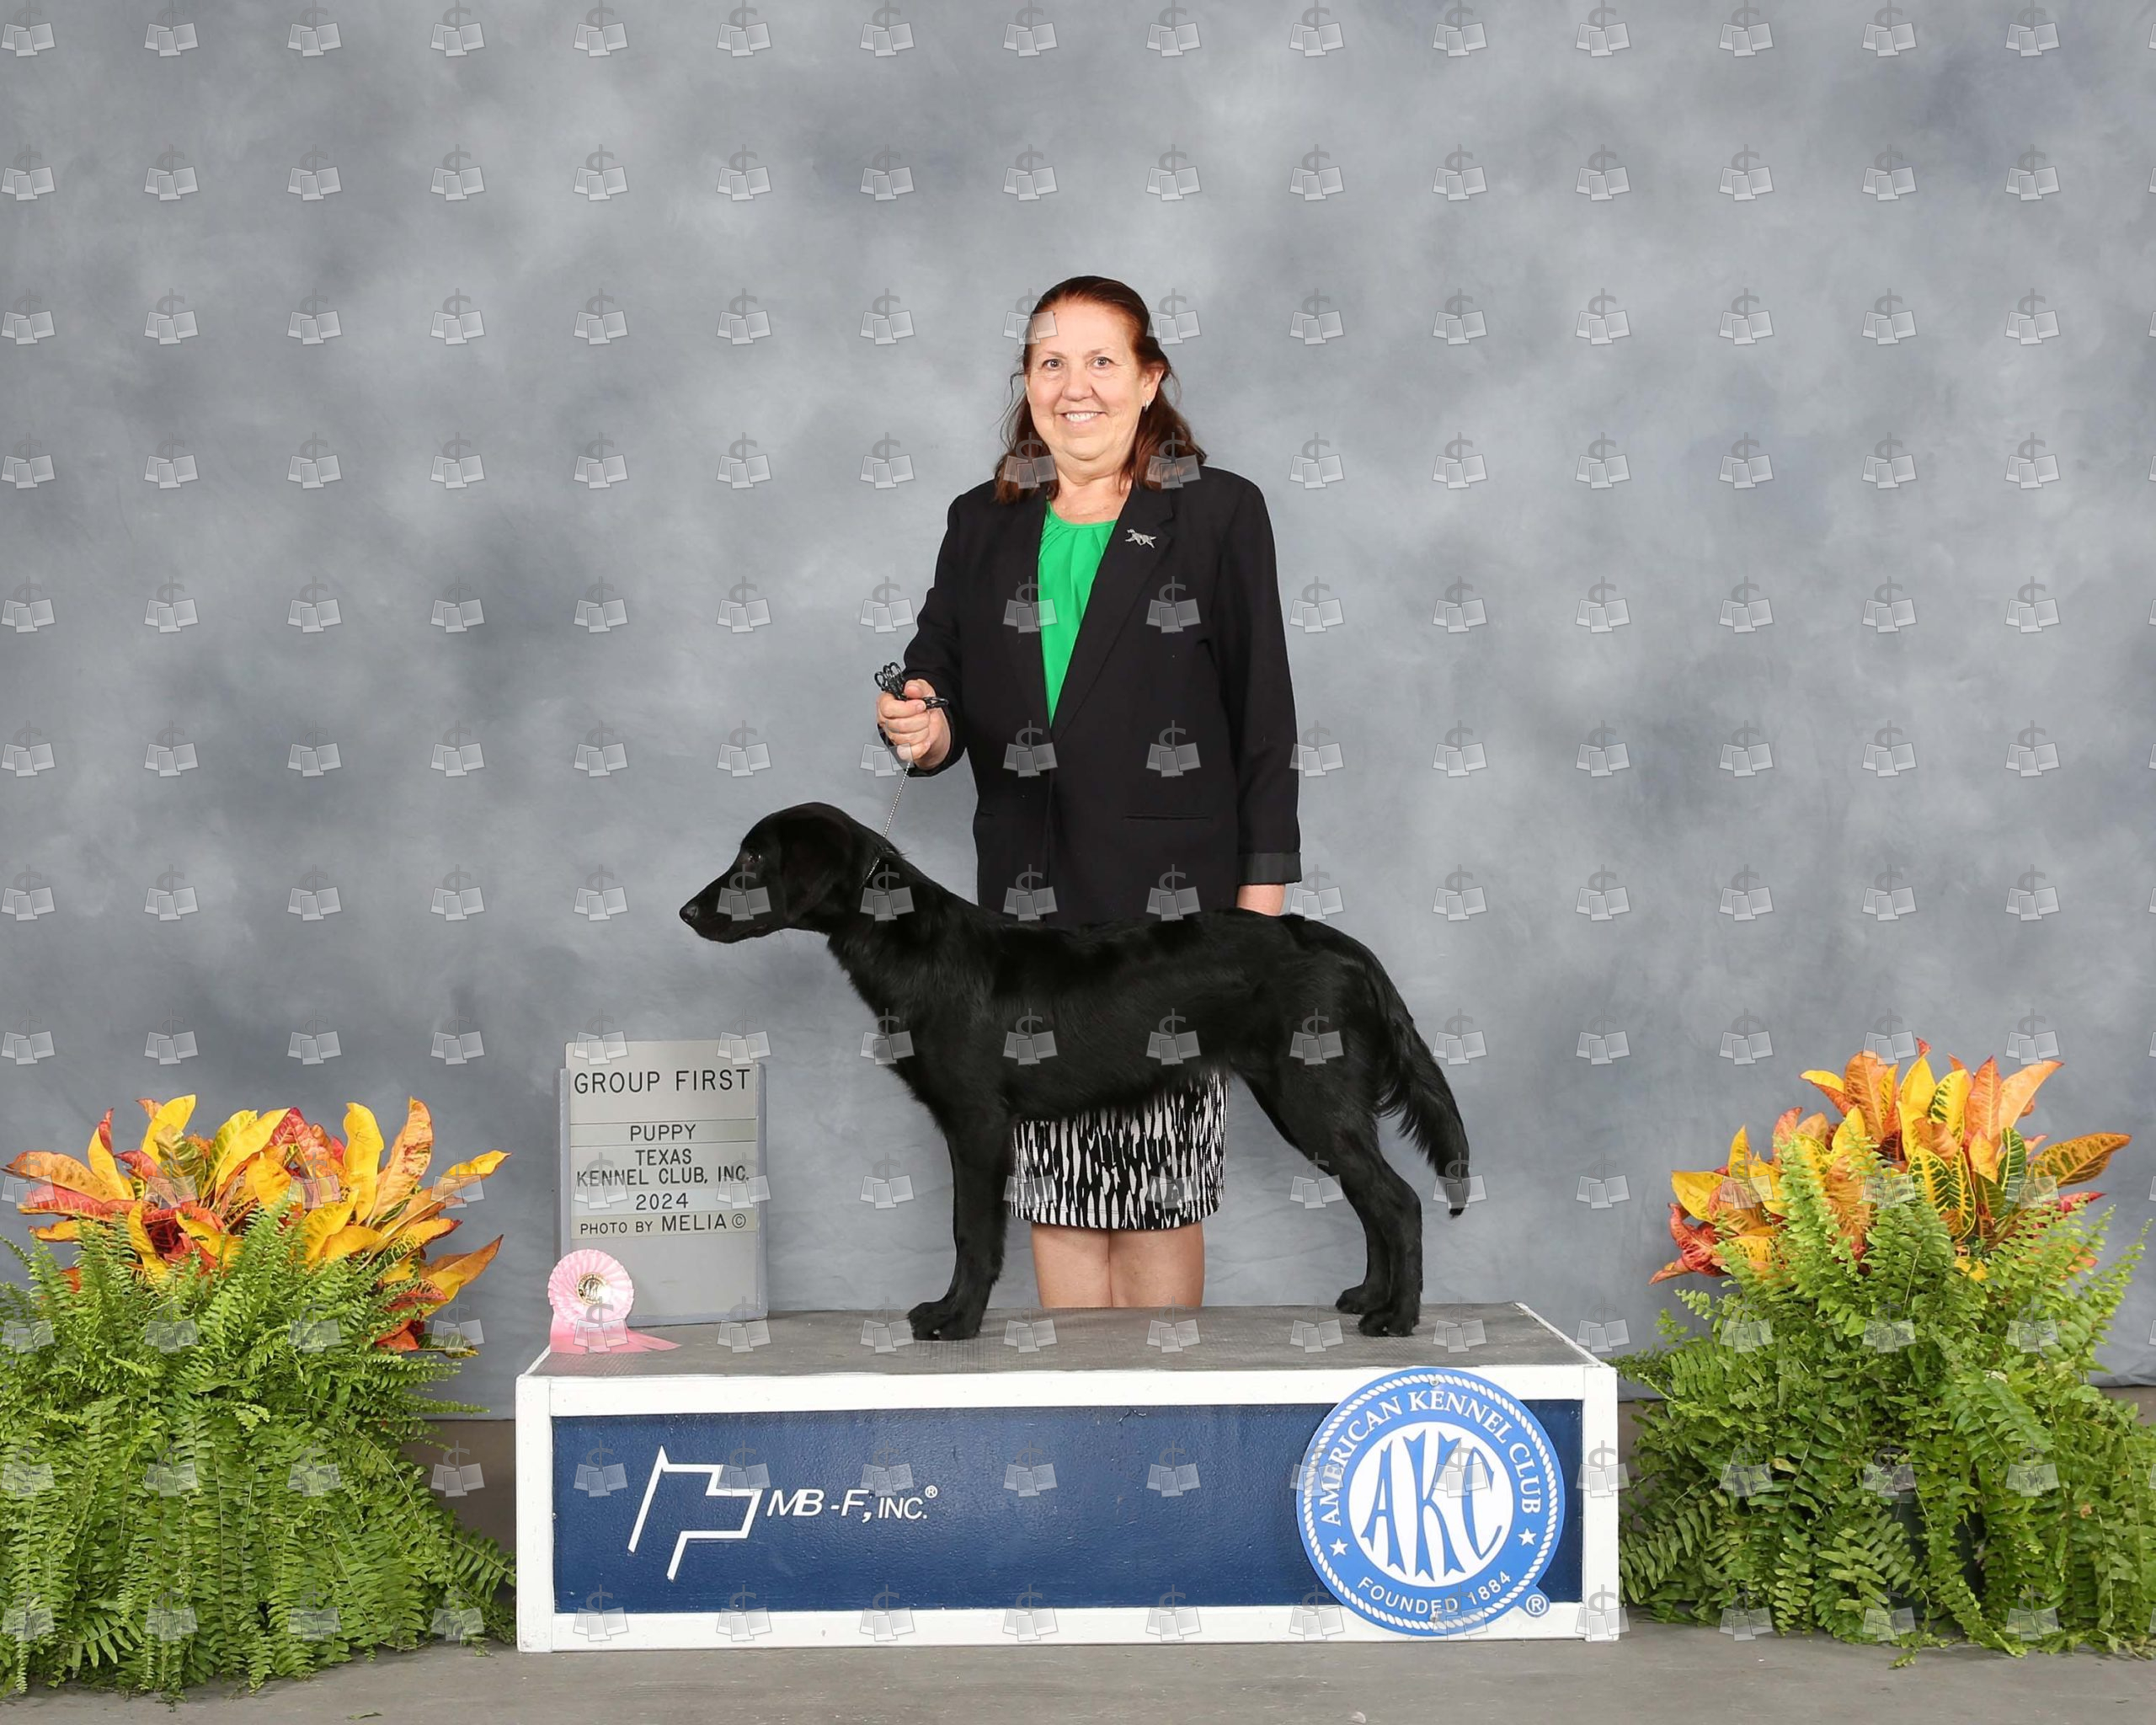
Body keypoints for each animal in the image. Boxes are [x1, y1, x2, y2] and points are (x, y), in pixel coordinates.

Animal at [679, 802, 1472, 1342]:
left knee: (1398, 1201)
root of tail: (1344, 947)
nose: (686, 911)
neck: (913, 945)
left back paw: (1398, 1318)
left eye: (751, 863)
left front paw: (955, 1319)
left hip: (1312, 1097)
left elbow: (972, 1231)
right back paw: (1369, 1298)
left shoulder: (977, 1122)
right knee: (1372, 1202)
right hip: (1310, 1104)